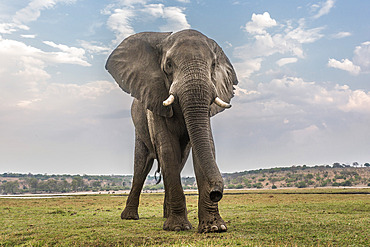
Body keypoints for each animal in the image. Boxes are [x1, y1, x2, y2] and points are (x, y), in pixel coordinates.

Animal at [105, 29, 237, 233]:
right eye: (168, 65)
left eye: (214, 64)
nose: (215, 193)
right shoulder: (155, 99)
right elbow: (167, 148)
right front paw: (178, 227)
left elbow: (205, 147)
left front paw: (214, 228)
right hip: (139, 128)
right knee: (142, 167)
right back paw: (130, 217)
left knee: (178, 161)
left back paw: (166, 215)